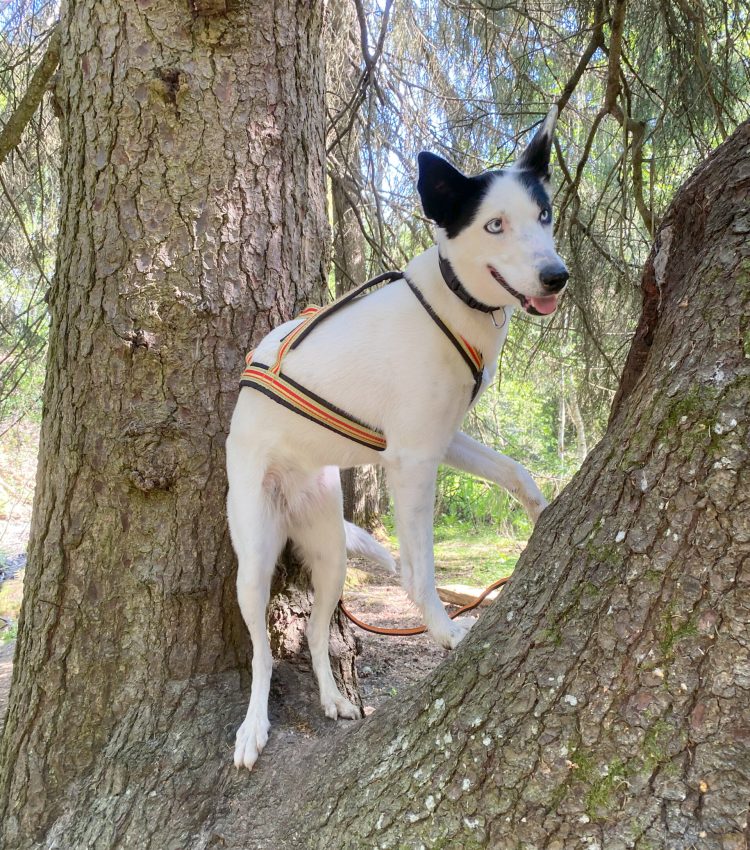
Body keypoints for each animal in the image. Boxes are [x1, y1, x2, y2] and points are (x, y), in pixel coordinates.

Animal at [226, 106, 568, 768]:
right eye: (494, 224)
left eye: (544, 215)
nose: (557, 276)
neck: (453, 304)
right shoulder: (411, 459)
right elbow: (419, 569)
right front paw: (446, 632)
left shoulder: (441, 438)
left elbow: (516, 471)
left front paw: (544, 513)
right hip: (252, 560)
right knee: (260, 654)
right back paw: (252, 728)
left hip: (329, 554)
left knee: (315, 634)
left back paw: (333, 698)